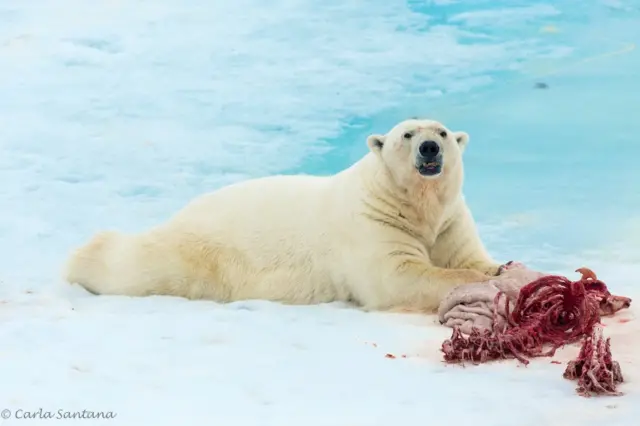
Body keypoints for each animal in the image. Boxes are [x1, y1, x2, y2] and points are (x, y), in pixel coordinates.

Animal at [63, 118, 504, 312]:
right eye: (407, 135)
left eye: (443, 132)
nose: (430, 148)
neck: (415, 206)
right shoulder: (373, 224)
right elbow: (397, 277)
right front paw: (480, 283)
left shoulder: (450, 221)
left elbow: (467, 254)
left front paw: (502, 270)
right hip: (200, 253)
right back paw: (85, 255)